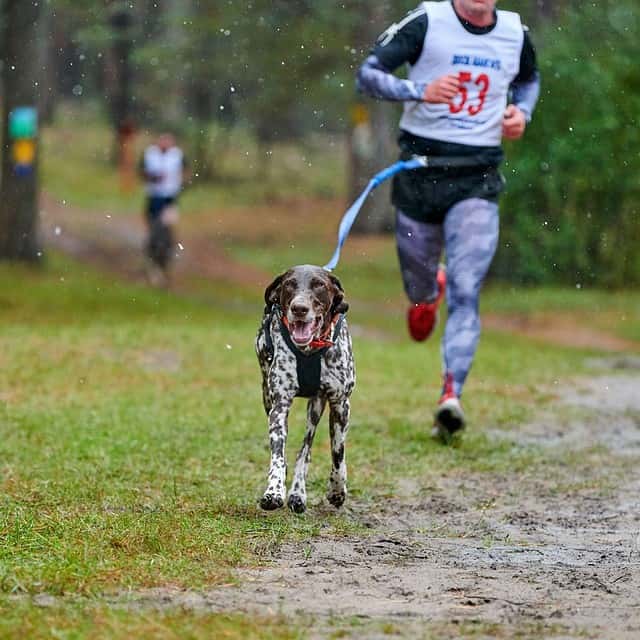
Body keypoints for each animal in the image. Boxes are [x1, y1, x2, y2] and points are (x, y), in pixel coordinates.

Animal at [255, 262, 356, 512]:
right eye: (289, 285)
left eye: (319, 285)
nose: (299, 308)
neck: (310, 350)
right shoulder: (279, 406)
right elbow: (278, 455)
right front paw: (274, 491)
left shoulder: (340, 404)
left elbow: (337, 452)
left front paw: (337, 490)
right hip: (267, 396)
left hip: (316, 407)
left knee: (306, 448)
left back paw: (298, 493)